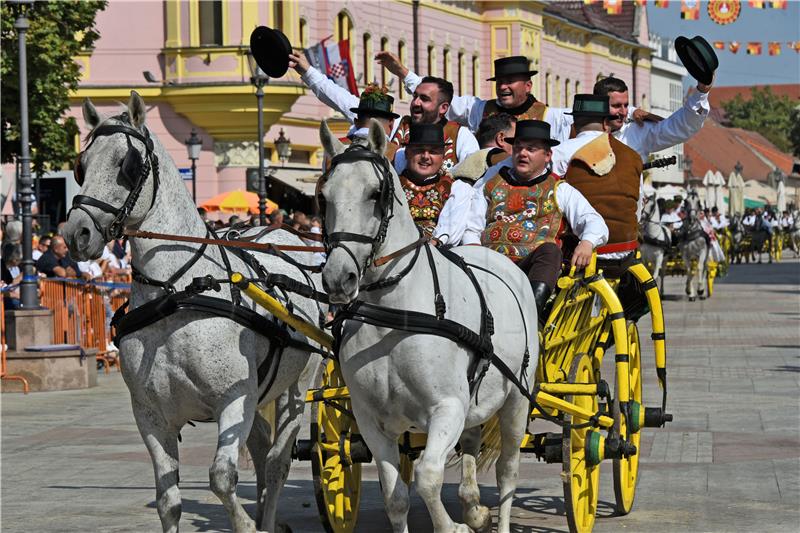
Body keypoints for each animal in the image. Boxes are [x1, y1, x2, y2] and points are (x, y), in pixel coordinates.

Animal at [61, 92, 322, 532]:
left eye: (128, 165)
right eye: (81, 165)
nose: (75, 233)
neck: (177, 294)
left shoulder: (235, 400)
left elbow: (221, 478)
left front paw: (246, 524)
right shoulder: (150, 415)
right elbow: (168, 501)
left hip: (297, 388)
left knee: (276, 462)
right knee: (263, 448)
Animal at [318, 119, 536, 532]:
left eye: (375, 194)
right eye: (323, 196)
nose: (338, 279)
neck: (393, 318)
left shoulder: (446, 408)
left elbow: (428, 476)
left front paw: (454, 526)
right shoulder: (370, 419)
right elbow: (396, 496)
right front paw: (465, 516)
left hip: (517, 400)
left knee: (509, 472)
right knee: (472, 445)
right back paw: (474, 506)